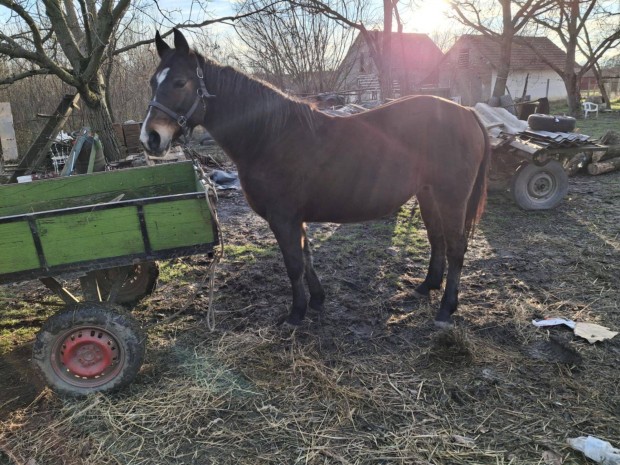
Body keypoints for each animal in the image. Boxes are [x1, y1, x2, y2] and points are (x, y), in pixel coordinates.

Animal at [139, 28, 490, 326]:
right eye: (152, 82)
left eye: (180, 82)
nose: (150, 138)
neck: (269, 137)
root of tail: (467, 113)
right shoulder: (296, 217)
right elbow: (306, 257)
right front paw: (318, 300)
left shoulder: (282, 218)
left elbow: (294, 264)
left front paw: (296, 313)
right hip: (429, 194)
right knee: (437, 239)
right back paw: (427, 286)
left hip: (451, 197)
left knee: (456, 246)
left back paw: (446, 308)